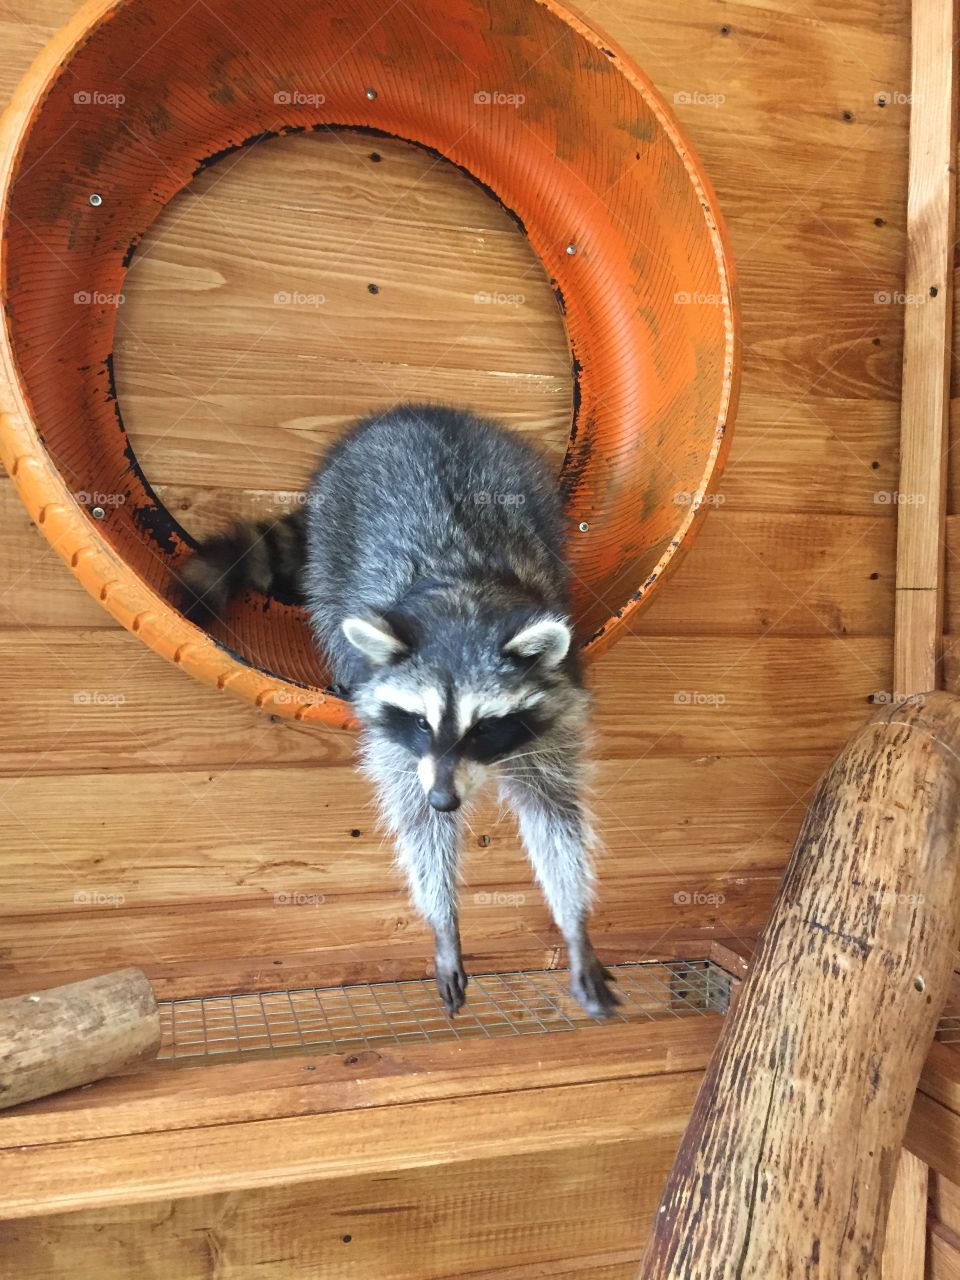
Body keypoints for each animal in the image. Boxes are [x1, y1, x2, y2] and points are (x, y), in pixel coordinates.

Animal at [179, 404, 619, 1018]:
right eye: (420, 720)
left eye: (486, 728)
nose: (446, 800)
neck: (463, 595)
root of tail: (417, 412)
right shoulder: (401, 746)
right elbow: (415, 820)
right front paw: (443, 919)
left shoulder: (551, 721)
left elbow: (555, 817)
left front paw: (574, 920)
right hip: (335, 526)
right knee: (327, 597)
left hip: (526, 484)